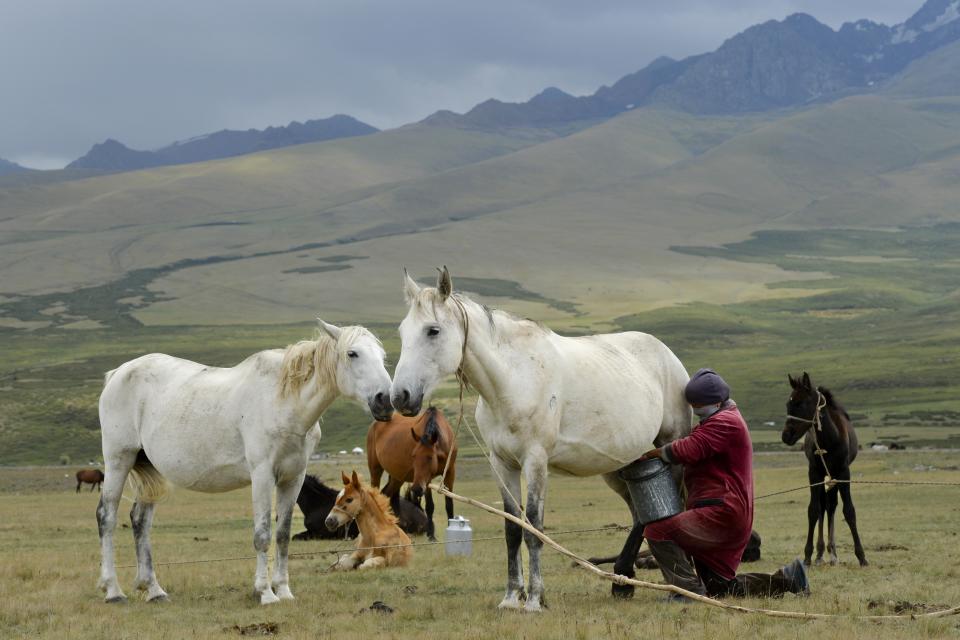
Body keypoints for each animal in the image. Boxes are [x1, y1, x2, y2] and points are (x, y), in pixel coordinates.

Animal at [94, 322, 394, 604]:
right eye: (352, 353)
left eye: (382, 356)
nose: (386, 400)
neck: (283, 403)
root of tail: (117, 374)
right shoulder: (262, 475)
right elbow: (262, 535)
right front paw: (265, 593)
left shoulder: (293, 478)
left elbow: (282, 535)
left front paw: (283, 591)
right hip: (119, 460)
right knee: (106, 517)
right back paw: (113, 591)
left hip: (150, 468)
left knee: (140, 521)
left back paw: (154, 590)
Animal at [368, 404, 458, 540]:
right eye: (414, 455)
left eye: (430, 457)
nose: (416, 489)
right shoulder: (427, 479)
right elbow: (430, 506)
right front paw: (431, 535)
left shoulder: (450, 472)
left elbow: (449, 504)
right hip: (375, 470)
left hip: (397, 477)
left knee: (389, 495)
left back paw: (400, 528)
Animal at [390, 268, 688, 608]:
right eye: (402, 332)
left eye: (433, 331)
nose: (400, 396)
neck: (513, 379)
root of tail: (665, 352)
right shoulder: (501, 463)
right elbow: (512, 528)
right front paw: (511, 597)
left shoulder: (535, 460)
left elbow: (533, 526)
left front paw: (534, 598)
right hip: (621, 465)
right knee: (640, 515)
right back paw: (622, 580)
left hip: (670, 446)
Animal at [784, 372, 868, 568]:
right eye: (788, 404)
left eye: (801, 404)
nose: (786, 436)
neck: (830, 438)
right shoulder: (814, 473)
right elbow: (814, 510)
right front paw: (808, 555)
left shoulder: (843, 473)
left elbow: (849, 511)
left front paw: (861, 556)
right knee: (823, 506)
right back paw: (821, 553)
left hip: (834, 476)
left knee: (831, 506)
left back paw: (832, 553)